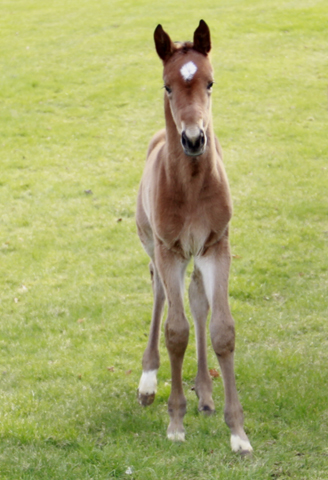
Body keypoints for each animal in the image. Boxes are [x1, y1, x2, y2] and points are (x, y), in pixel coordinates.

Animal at [135, 19, 252, 454]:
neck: (190, 188)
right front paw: (175, 423)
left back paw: (204, 392)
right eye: (167, 86)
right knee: (159, 293)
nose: (193, 139)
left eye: (210, 83)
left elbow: (221, 330)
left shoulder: (217, 246)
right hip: (153, 244)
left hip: (197, 254)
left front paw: (237, 433)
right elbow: (176, 331)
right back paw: (148, 383)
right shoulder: (170, 249)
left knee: (198, 299)